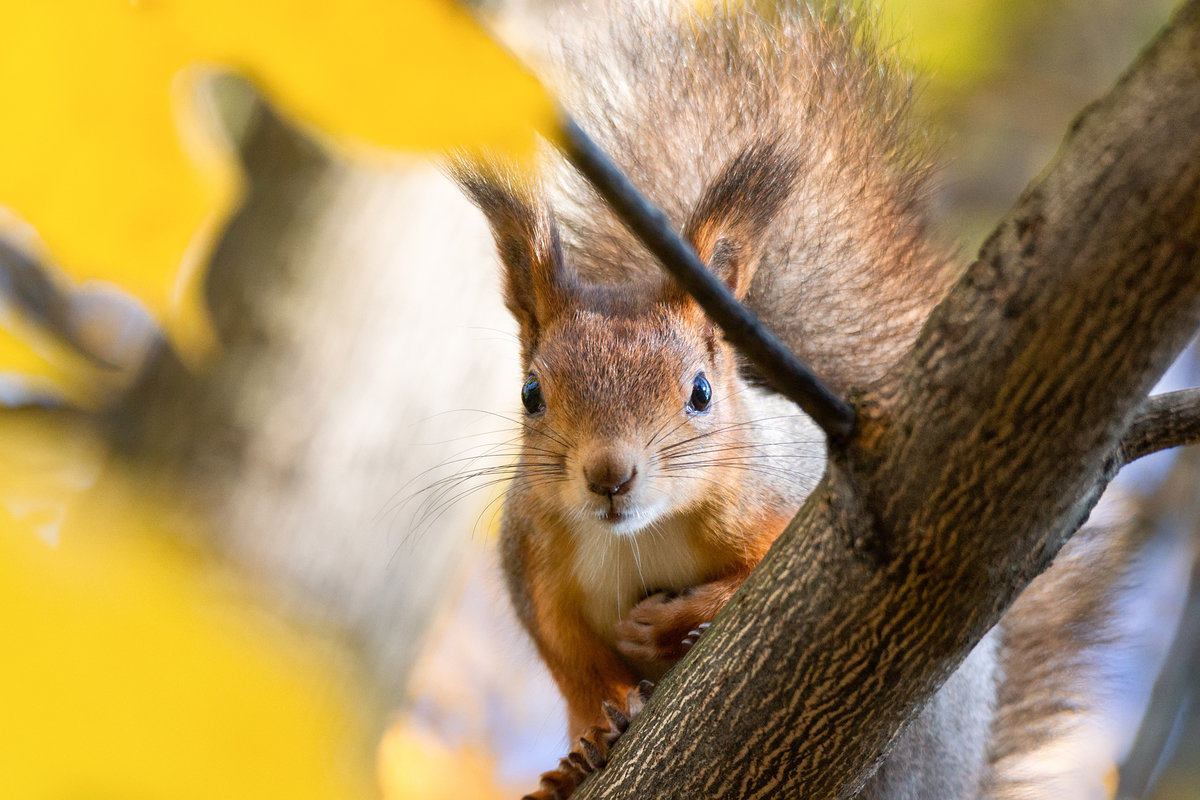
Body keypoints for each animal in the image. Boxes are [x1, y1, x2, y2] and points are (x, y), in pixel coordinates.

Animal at [453, 1, 1137, 800]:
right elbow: (573, 663)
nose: (609, 476)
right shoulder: (534, 563)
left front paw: (668, 626)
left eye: (701, 392)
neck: (637, 535)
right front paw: (591, 738)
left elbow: (746, 588)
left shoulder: (796, 511)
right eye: (530, 393)